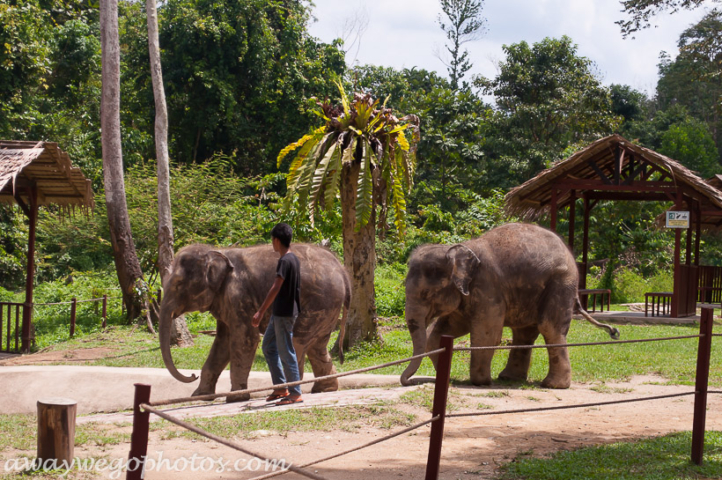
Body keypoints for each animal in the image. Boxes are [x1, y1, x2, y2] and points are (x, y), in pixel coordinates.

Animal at [160, 244, 348, 402]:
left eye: (178, 284)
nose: (193, 375)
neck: (218, 251)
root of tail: (341, 267)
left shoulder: (239, 295)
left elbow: (245, 340)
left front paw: (235, 398)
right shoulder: (225, 301)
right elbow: (222, 343)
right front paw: (200, 397)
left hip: (320, 302)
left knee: (297, 343)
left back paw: (290, 393)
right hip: (327, 308)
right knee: (317, 346)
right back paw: (324, 389)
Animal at [396, 223, 616, 388]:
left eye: (425, 294)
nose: (409, 381)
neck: (457, 249)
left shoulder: (488, 287)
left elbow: (487, 333)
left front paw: (480, 382)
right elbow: (446, 330)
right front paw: (446, 375)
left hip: (561, 283)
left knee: (550, 328)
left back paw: (553, 385)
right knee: (524, 333)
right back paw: (509, 378)